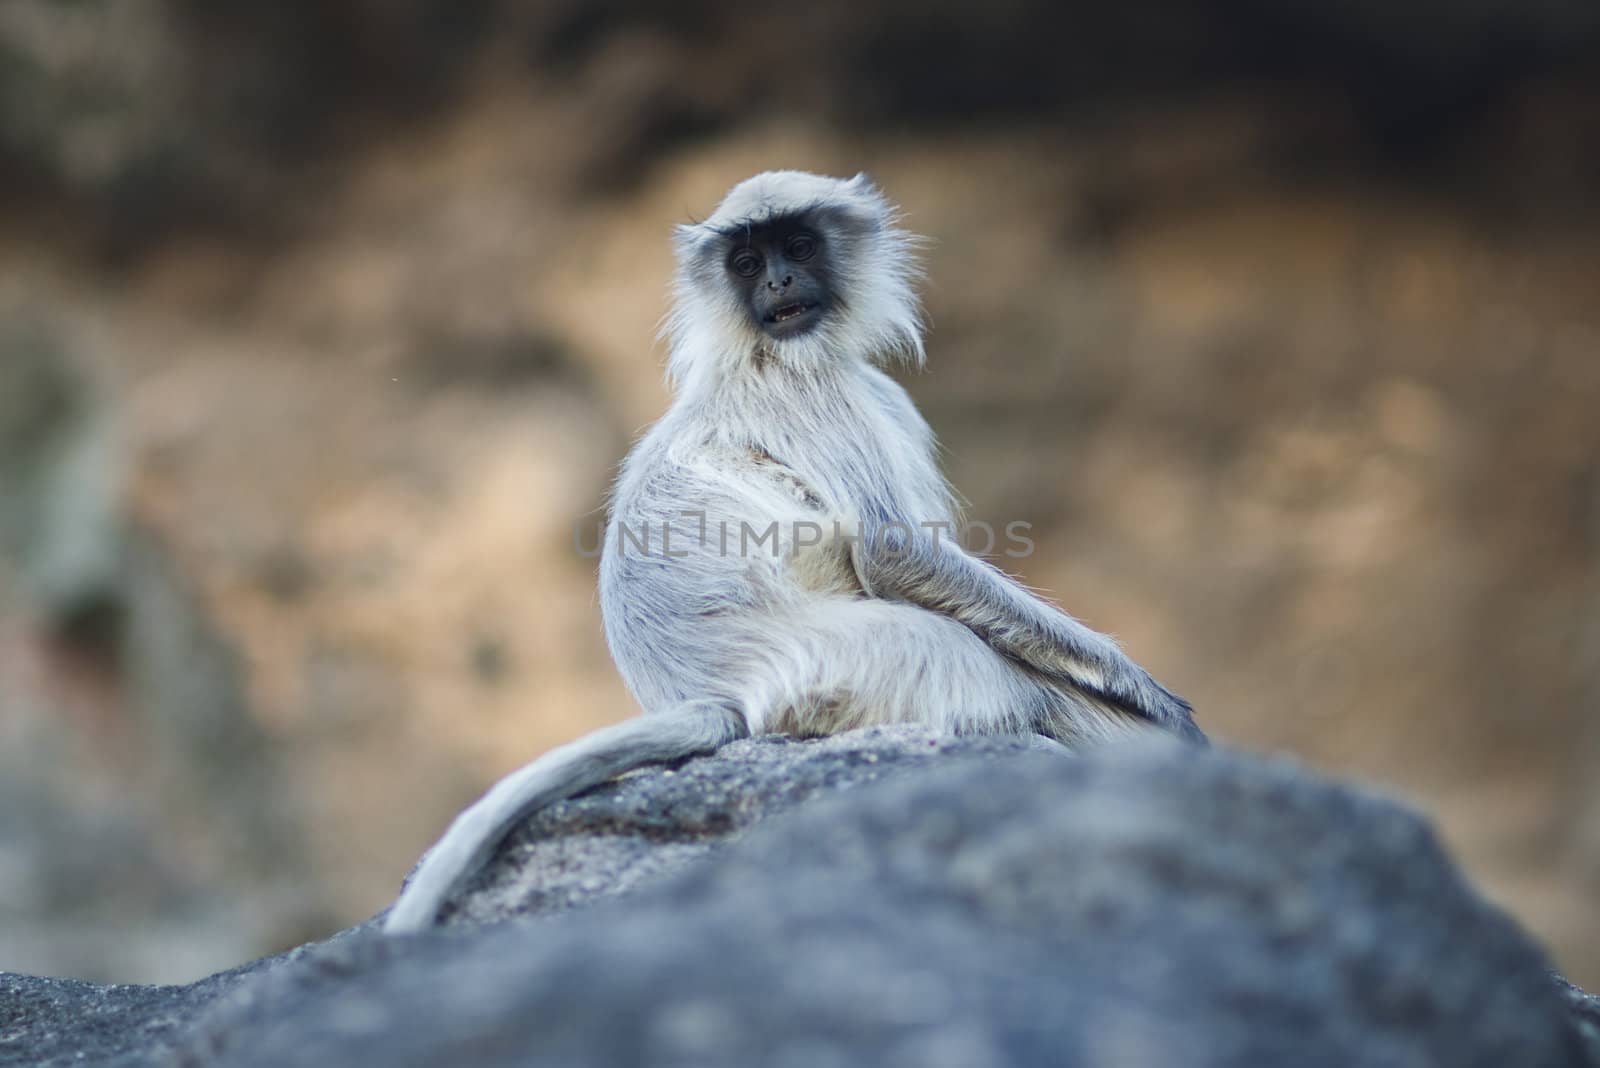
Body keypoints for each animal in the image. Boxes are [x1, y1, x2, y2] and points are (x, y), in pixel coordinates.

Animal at [380, 168, 1196, 933]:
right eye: (747, 262)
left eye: (798, 248)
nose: (777, 282)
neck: (767, 352)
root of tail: (715, 692)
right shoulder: (810, 391)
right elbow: (895, 552)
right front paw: (1147, 693)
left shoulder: (878, 393)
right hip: (859, 663)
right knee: (1017, 687)